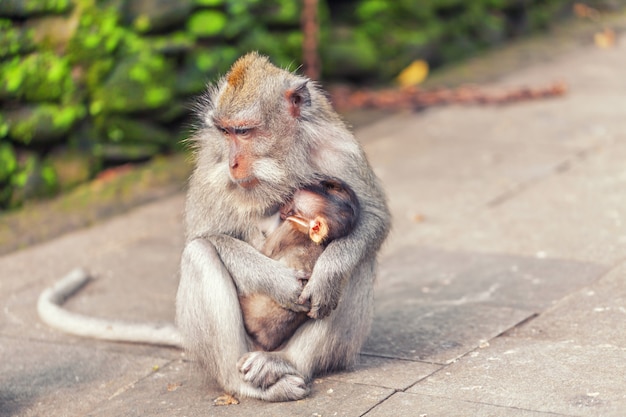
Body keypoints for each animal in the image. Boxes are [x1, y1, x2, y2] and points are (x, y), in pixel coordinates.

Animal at [176, 52, 388, 400]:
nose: (233, 163)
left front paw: (328, 274)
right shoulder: (211, 166)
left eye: (244, 132)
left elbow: (374, 216)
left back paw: (284, 362)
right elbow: (203, 236)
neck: (282, 157)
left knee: (359, 262)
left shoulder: (338, 146)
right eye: (225, 132)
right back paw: (242, 385)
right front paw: (281, 283)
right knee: (199, 253)